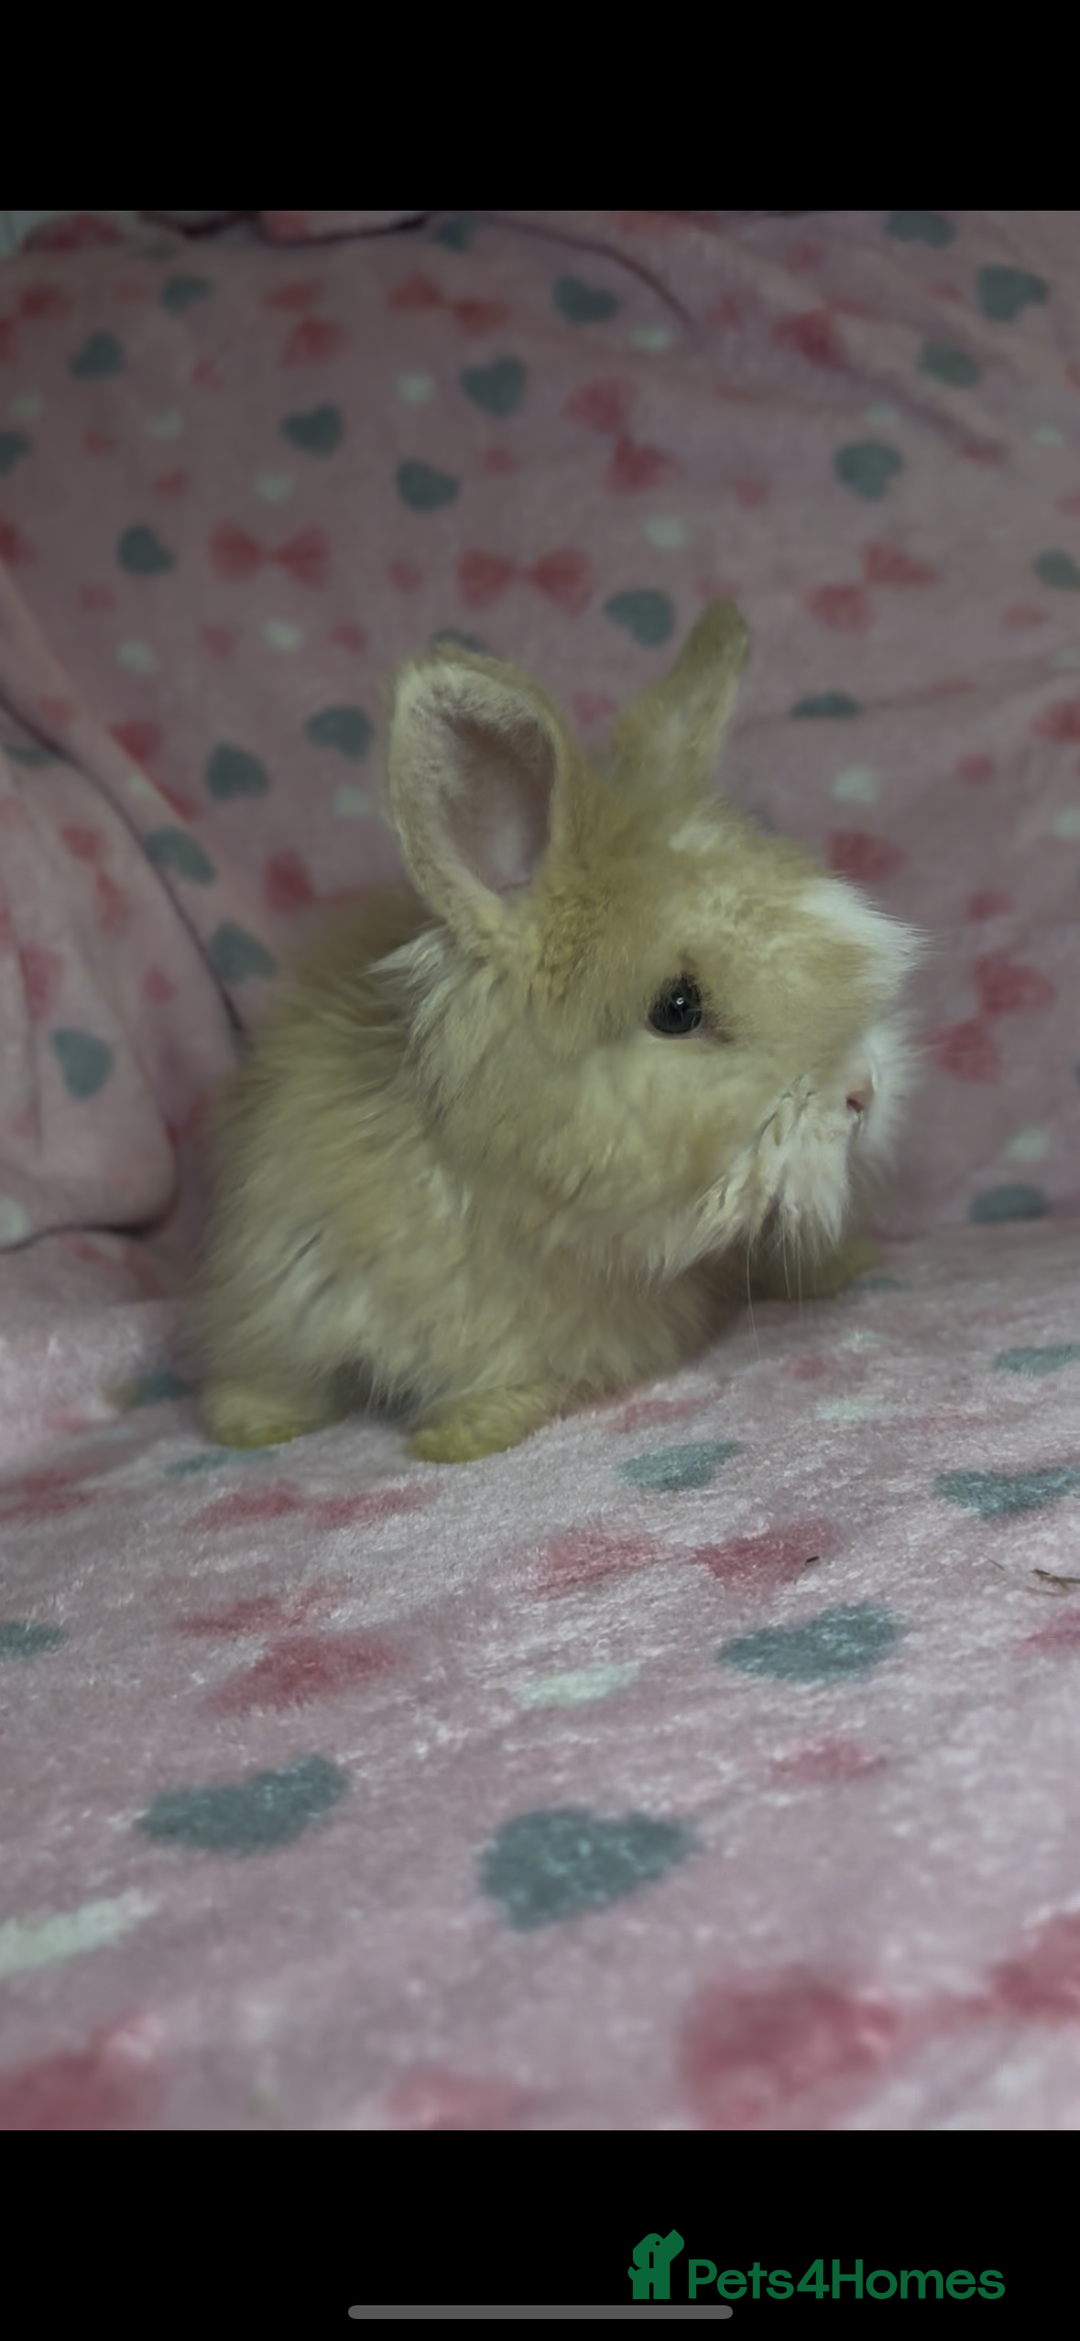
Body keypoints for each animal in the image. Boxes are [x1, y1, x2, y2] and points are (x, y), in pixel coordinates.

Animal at [194, 601, 920, 1463]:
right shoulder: (276, 1285)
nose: (862, 1092)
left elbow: (514, 1385)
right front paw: (251, 1427)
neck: (494, 1190)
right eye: (678, 1007)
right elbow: (269, 1375)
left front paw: (461, 1435)